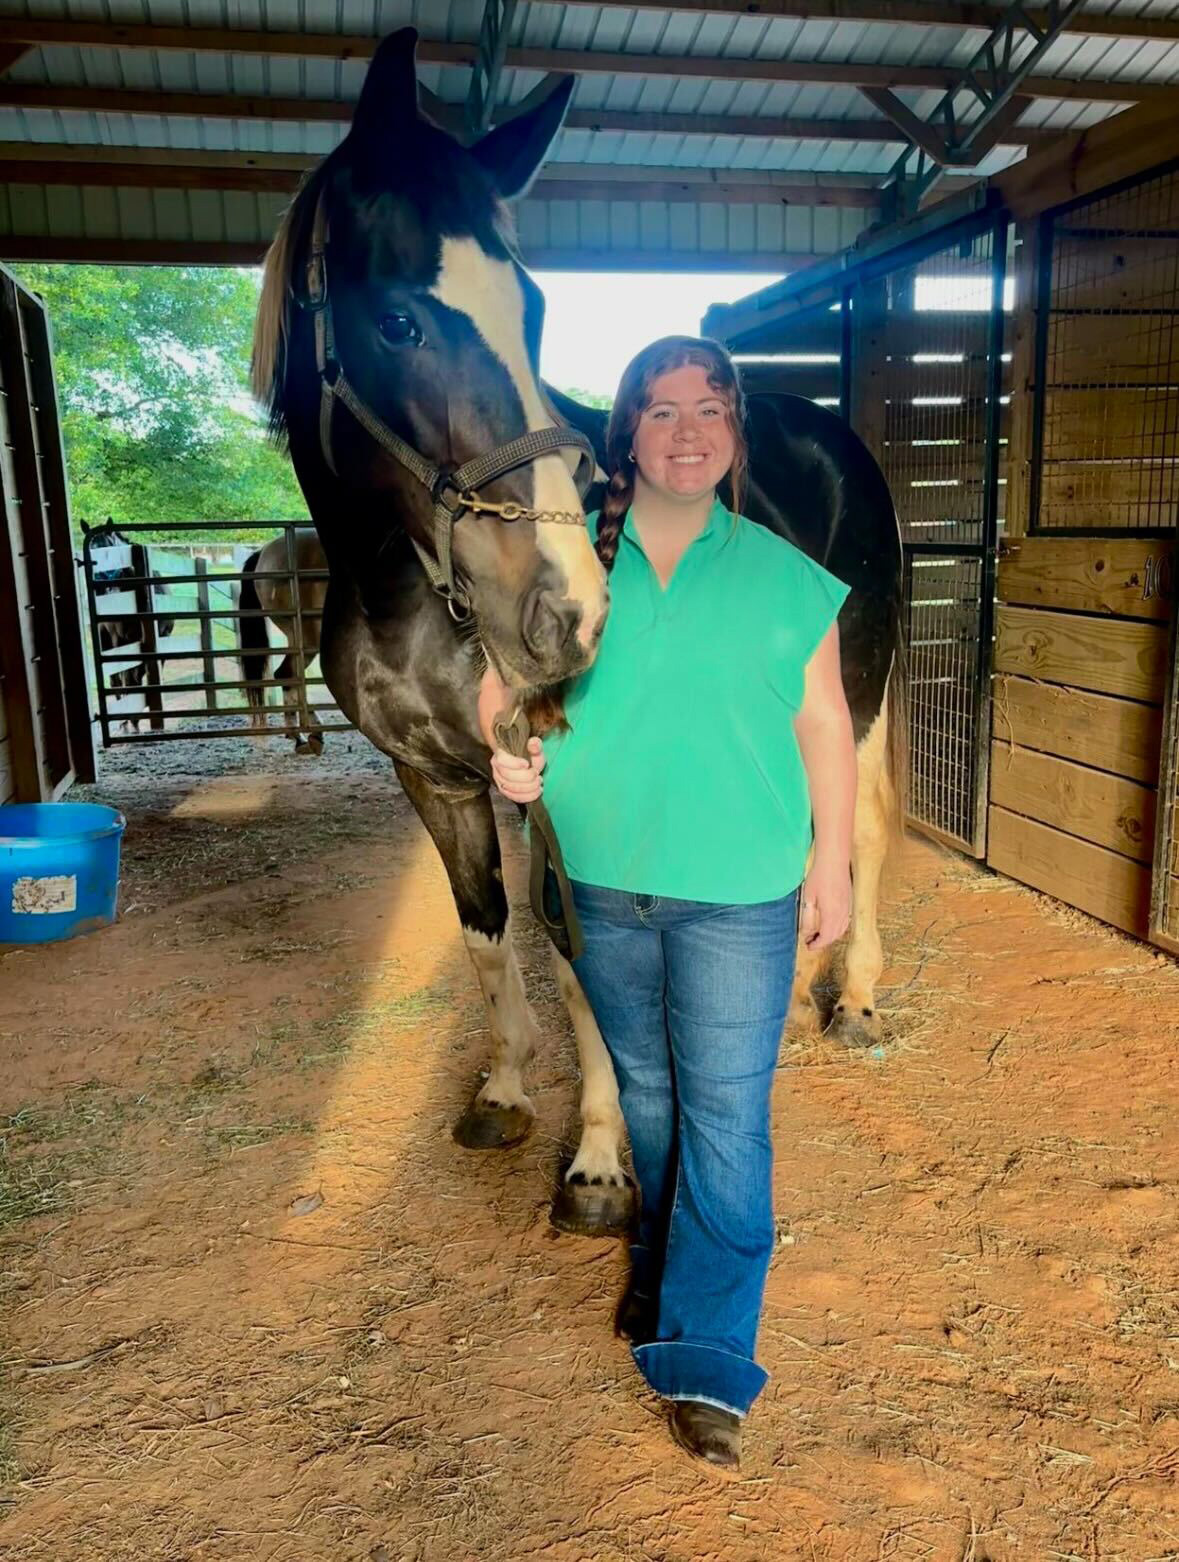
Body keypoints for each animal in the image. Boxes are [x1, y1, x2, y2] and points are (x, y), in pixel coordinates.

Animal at [252, 28, 904, 1238]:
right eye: (399, 318)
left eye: (535, 310)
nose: (566, 612)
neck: (409, 589)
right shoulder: (436, 779)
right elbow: (487, 931)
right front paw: (505, 1090)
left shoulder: (559, 778)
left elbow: (571, 957)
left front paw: (598, 1162)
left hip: (863, 683)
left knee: (866, 831)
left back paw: (856, 999)